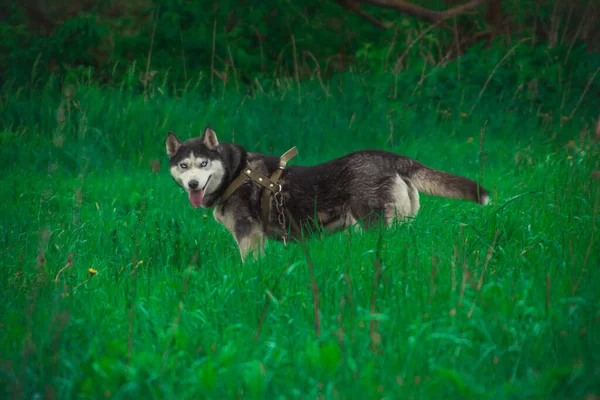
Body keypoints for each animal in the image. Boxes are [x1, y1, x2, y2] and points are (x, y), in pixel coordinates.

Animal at [165, 126, 488, 260]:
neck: (234, 173)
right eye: (184, 166)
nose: (193, 185)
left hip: (377, 227)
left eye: (203, 164)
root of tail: (396, 158)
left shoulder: (248, 236)